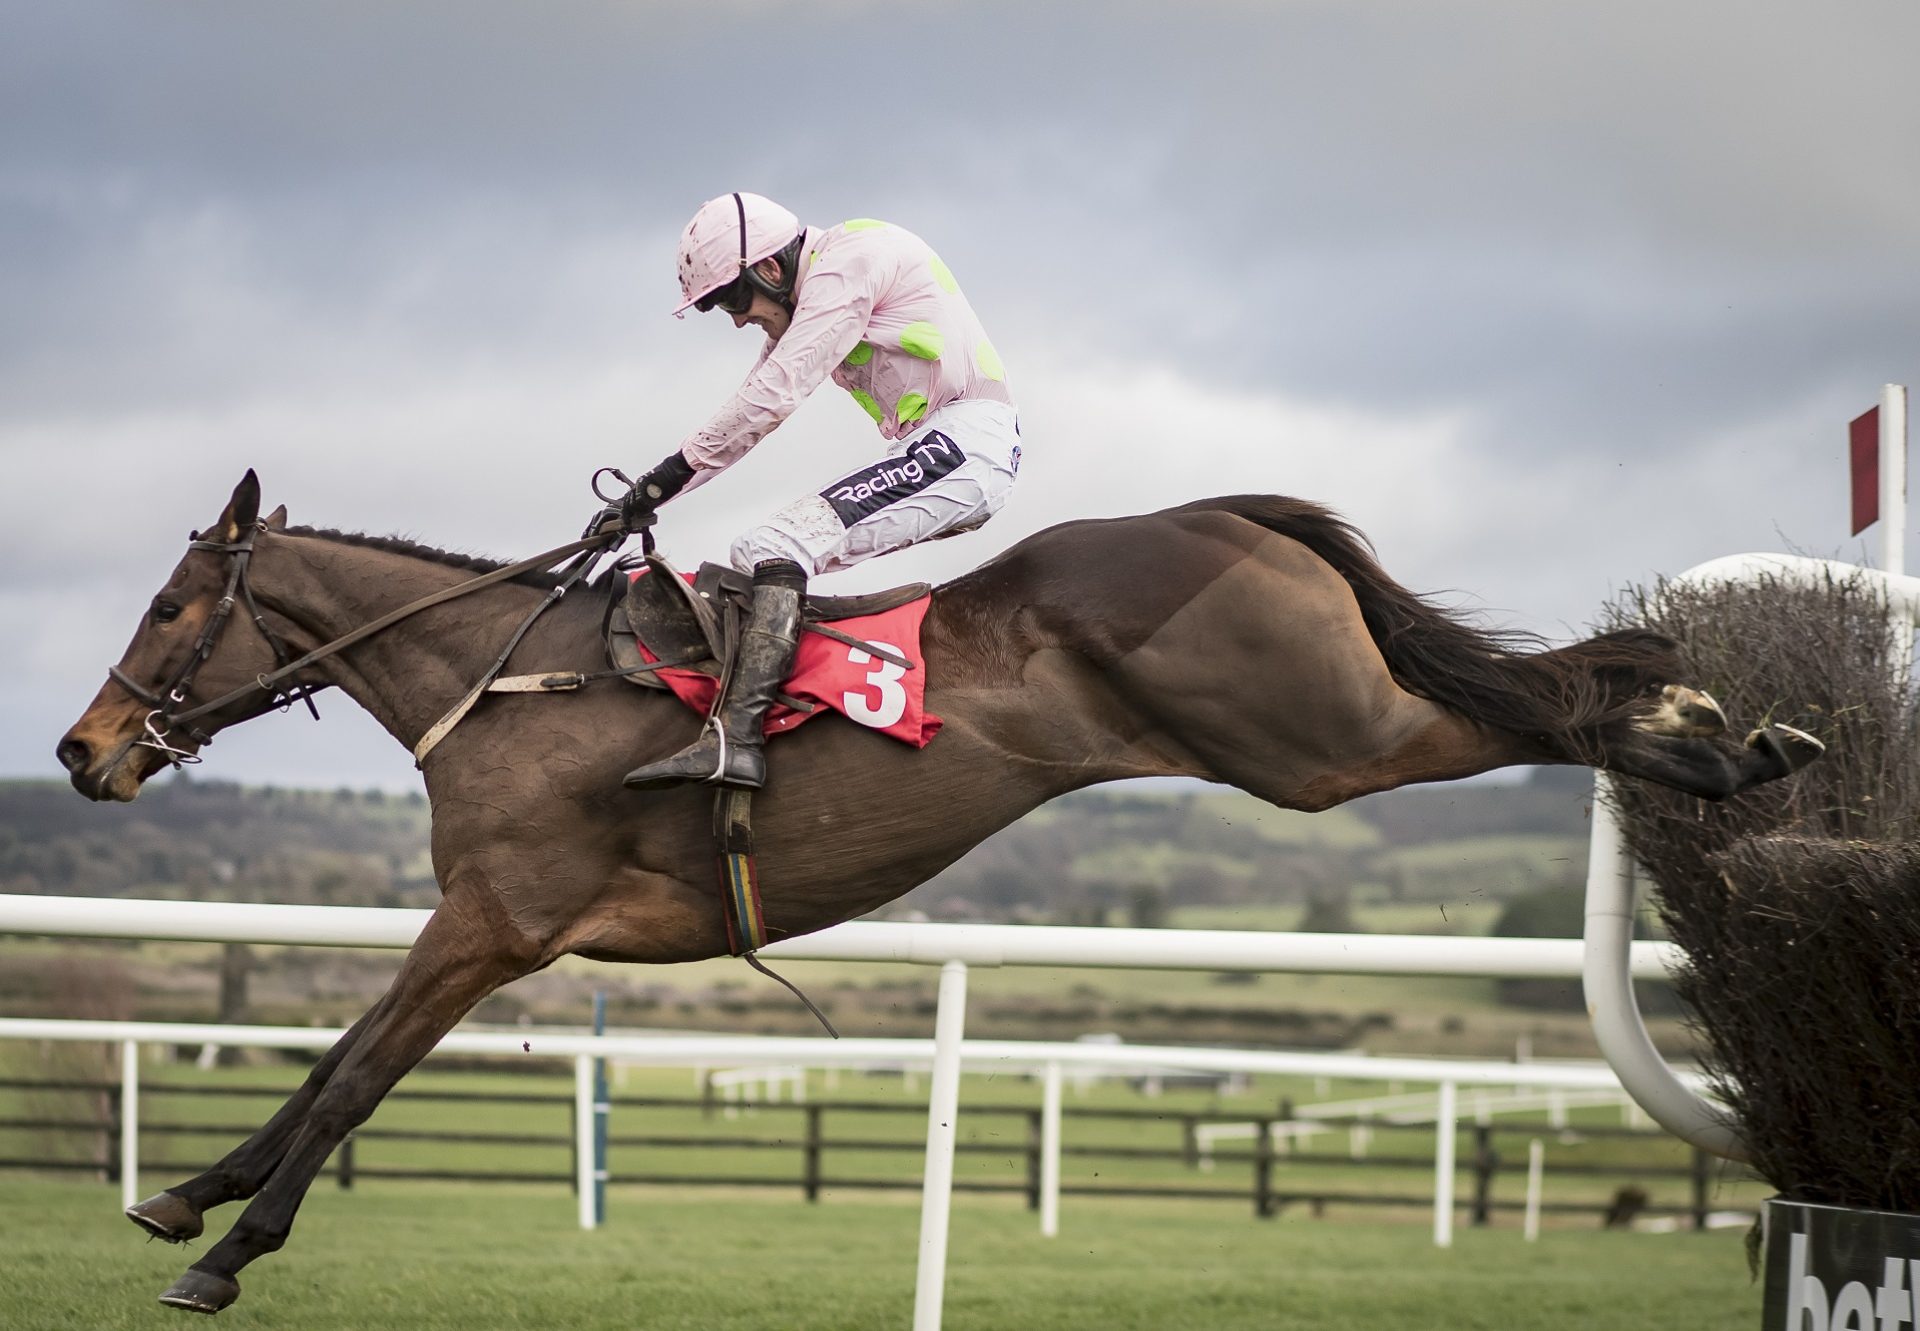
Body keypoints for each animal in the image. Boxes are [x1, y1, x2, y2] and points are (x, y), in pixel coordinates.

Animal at [48, 470, 1812, 1306]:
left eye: (167, 604)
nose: (79, 749)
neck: (509, 682)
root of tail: (1220, 511)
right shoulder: (479, 929)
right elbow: (327, 1063)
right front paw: (184, 1192)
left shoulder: (497, 922)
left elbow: (353, 1078)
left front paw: (223, 1246)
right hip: (1314, 731)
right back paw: (1727, 724)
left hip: (1319, 738)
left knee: (1528, 702)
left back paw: (1711, 735)